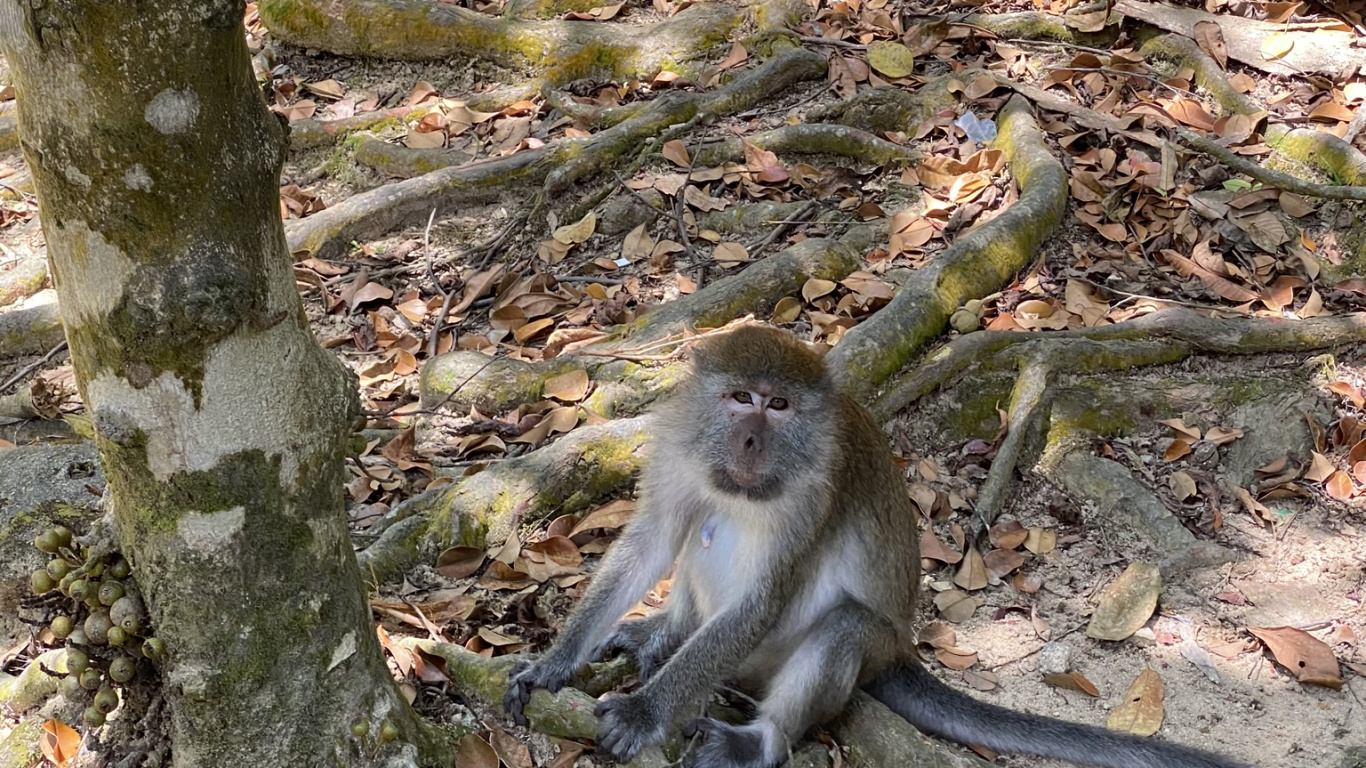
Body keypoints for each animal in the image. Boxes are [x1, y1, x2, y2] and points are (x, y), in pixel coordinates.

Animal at [505, 322, 1251, 765]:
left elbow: (761, 603)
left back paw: (759, 739)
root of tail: (901, 651)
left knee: (841, 627)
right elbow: (653, 543)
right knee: (700, 535)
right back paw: (663, 633)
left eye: (778, 407)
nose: (749, 442)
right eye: (740, 398)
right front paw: (552, 665)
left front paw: (644, 711)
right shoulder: (679, 455)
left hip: (848, 649)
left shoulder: (815, 494)